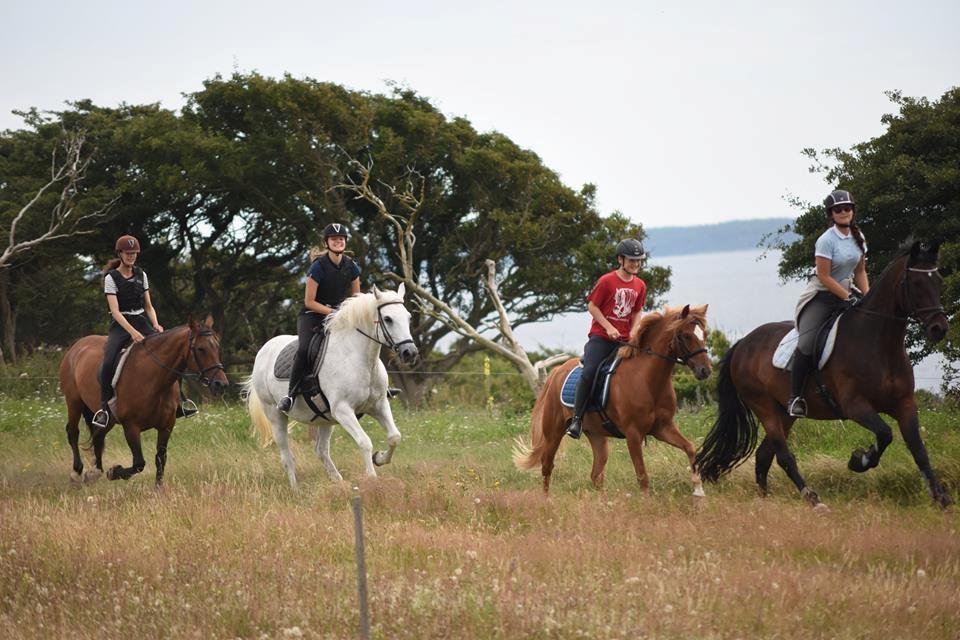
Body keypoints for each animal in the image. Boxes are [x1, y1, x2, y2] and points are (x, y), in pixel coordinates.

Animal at [58, 318, 229, 488]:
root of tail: (77, 345)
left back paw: (94, 473)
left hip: (108, 418)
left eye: (217, 347)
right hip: (74, 401)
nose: (221, 384)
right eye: (200, 349)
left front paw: (158, 489)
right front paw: (113, 472)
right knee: (73, 432)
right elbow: (139, 463)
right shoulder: (131, 427)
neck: (155, 379)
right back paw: (77, 473)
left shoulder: (167, 426)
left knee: (98, 435)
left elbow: (161, 458)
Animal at [244, 284, 416, 490]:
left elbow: (394, 436)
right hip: (275, 414)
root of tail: (265, 349)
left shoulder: (379, 405)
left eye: (408, 317)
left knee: (321, 450)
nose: (410, 353)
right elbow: (364, 442)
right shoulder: (343, 410)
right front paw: (372, 480)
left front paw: (380, 459)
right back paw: (296, 490)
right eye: (388, 319)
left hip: (325, 418)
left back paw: (340, 483)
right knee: (287, 456)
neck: (360, 358)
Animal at [516, 304, 712, 496]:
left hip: (596, 435)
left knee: (596, 475)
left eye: (704, 335)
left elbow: (690, 448)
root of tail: (557, 371)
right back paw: (547, 501)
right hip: (553, 433)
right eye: (686, 335)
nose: (705, 371)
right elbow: (642, 476)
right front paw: (647, 503)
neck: (647, 379)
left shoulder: (663, 428)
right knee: (547, 467)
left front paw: (699, 490)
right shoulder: (633, 434)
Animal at [696, 240, 952, 510]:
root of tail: (742, 344)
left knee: (764, 455)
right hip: (764, 406)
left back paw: (764, 500)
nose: (939, 328)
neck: (878, 343)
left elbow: (919, 450)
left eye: (939, 281)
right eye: (916, 283)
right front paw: (858, 461)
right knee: (783, 455)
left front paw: (941, 498)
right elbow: (885, 434)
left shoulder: (904, 404)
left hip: (784, 412)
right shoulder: (855, 406)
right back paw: (813, 499)